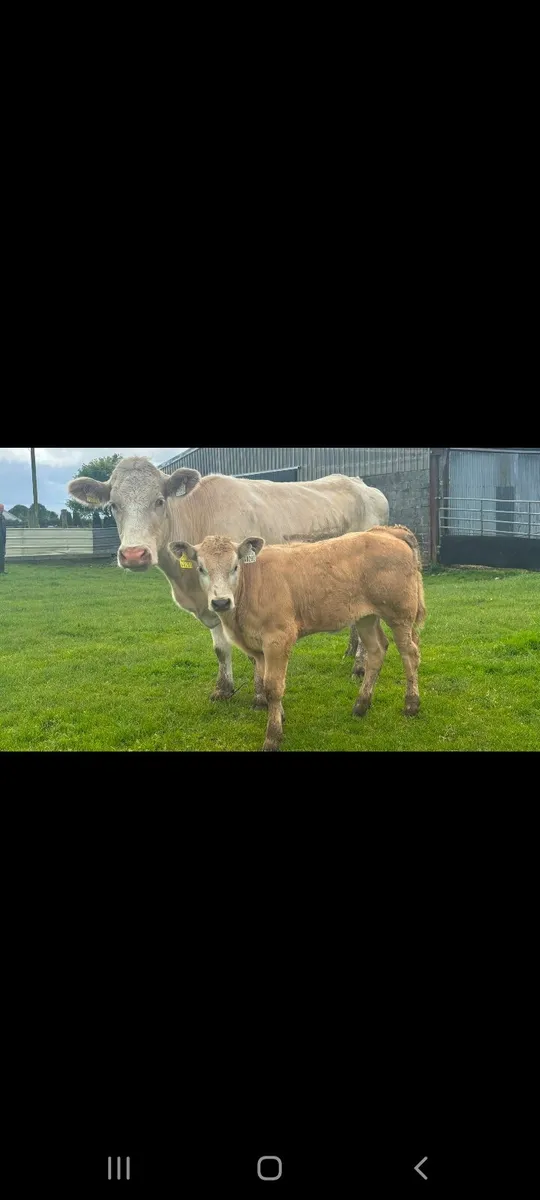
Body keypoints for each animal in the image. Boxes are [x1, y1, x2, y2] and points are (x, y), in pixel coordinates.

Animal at [68, 457, 389, 701]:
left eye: (159, 501)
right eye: (113, 506)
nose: (134, 554)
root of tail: (360, 483)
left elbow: (254, 654)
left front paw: (259, 695)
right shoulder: (212, 603)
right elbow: (220, 649)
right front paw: (223, 689)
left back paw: (360, 665)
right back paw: (350, 652)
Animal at [168, 525, 426, 751]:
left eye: (235, 566)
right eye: (201, 568)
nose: (221, 602)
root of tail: (386, 531)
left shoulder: (278, 638)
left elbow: (273, 687)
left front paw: (273, 736)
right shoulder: (258, 648)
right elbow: (263, 680)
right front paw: (278, 715)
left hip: (400, 614)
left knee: (410, 654)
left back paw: (411, 705)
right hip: (366, 617)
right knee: (376, 651)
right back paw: (361, 705)